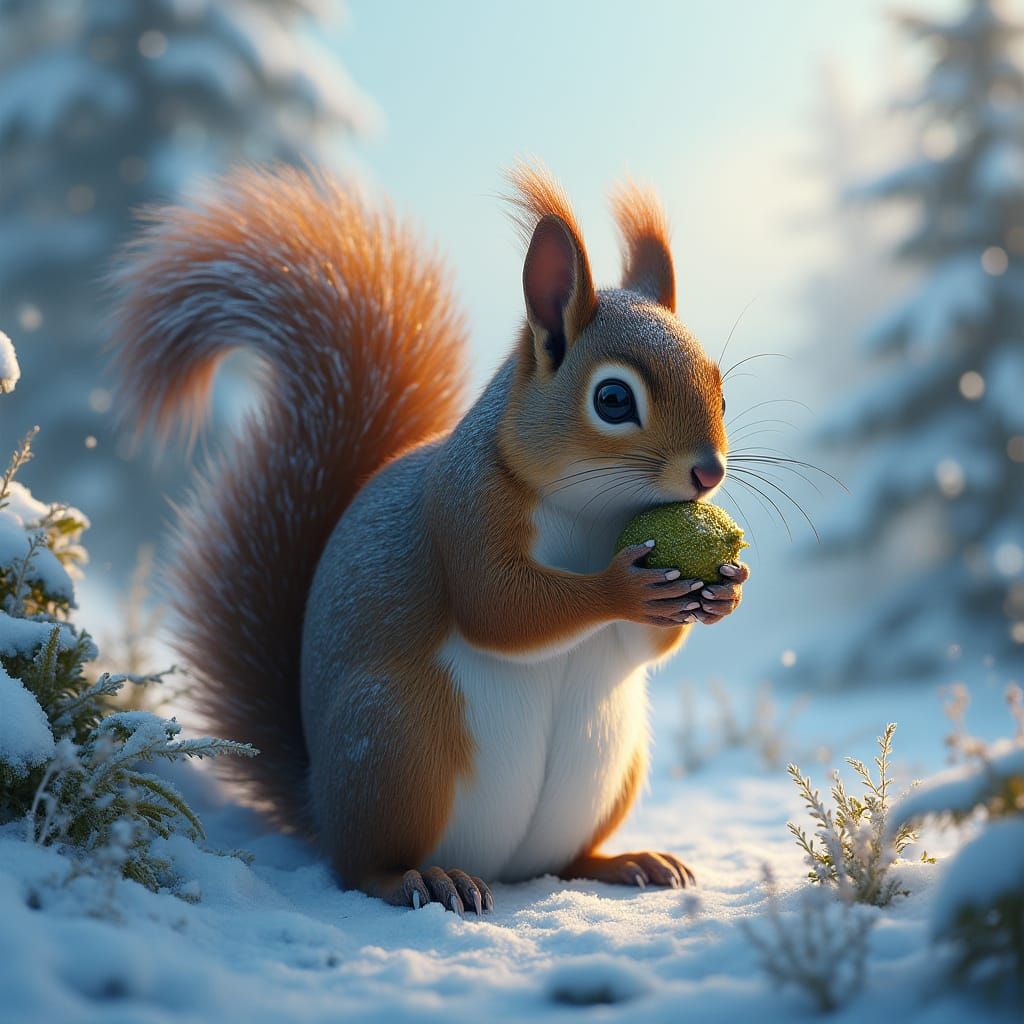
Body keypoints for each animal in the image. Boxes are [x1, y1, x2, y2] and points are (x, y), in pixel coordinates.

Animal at [111, 162, 748, 915]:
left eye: (721, 389)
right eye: (613, 400)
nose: (708, 472)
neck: (595, 515)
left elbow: (642, 647)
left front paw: (725, 590)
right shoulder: (465, 509)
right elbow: (500, 607)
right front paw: (622, 586)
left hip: (609, 769)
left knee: (565, 860)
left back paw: (625, 861)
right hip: (396, 746)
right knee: (362, 867)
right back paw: (422, 879)